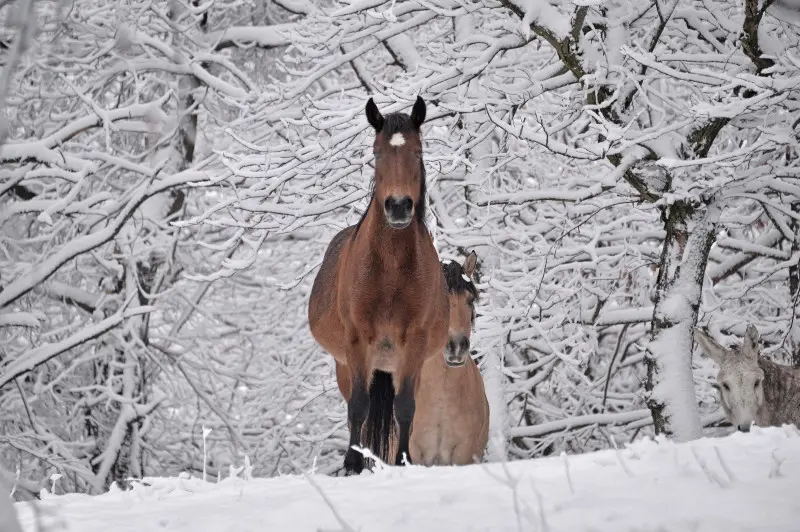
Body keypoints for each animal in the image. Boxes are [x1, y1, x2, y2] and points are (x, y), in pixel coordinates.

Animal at [310, 95, 454, 474]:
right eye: (376, 153)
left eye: (417, 152)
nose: (399, 206)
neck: (390, 270)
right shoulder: (358, 340)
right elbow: (358, 406)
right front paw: (352, 463)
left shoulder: (414, 343)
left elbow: (405, 407)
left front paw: (402, 461)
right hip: (347, 365)